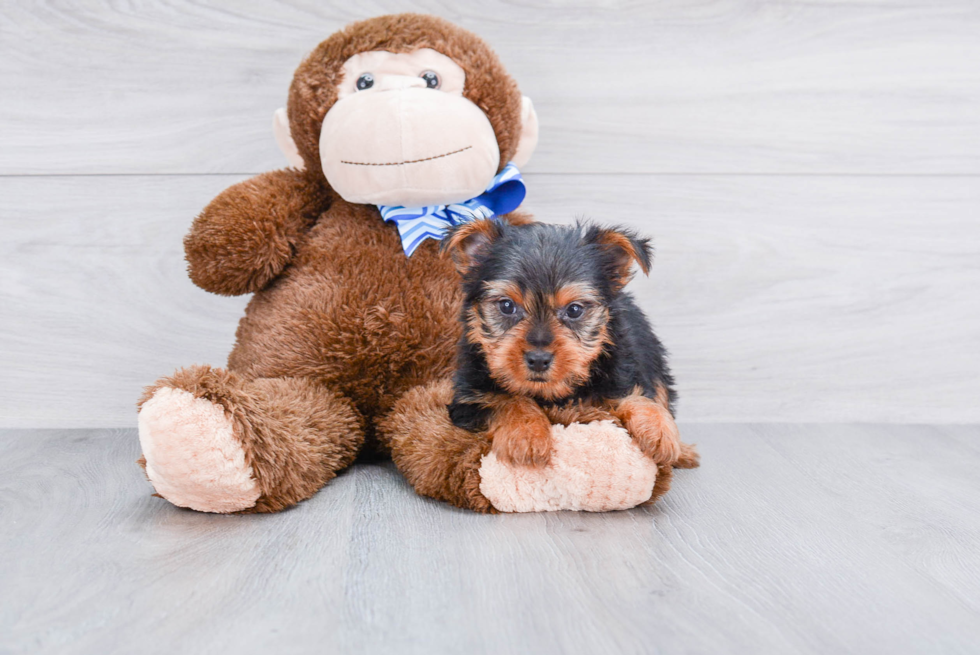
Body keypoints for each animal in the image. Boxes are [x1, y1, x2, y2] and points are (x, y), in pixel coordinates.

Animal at [444, 220, 696, 472]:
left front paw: (659, 430)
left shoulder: (619, 377)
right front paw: (527, 434)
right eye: (506, 306)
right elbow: (504, 400)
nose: (538, 359)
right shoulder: (467, 400)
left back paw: (683, 451)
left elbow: (637, 398)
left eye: (574, 310)